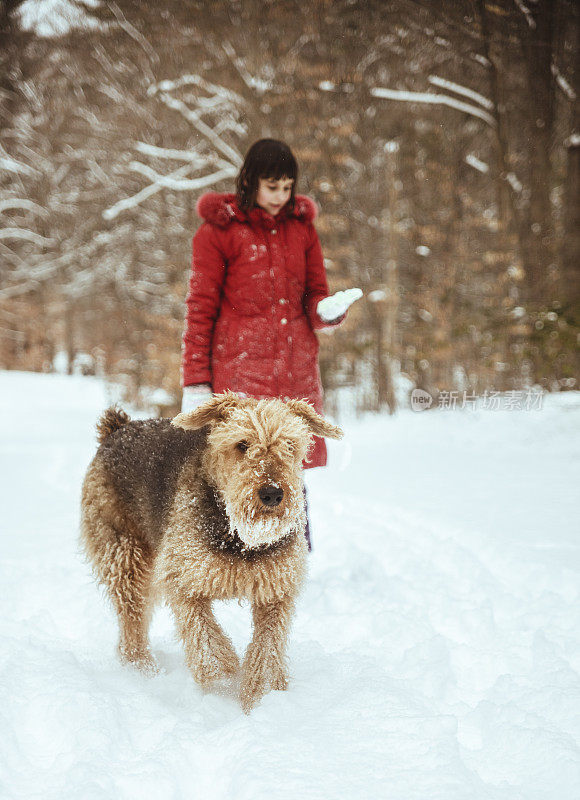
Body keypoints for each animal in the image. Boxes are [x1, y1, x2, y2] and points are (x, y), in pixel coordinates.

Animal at [79, 390, 342, 708]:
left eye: (290, 445)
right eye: (242, 444)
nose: (272, 493)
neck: (240, 539)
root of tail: (118, 428)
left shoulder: (275, 591)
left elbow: (267, 646)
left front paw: (264, 693)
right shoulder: (184, 581)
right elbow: (205, 636)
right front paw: (223, 678)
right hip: (125, 557)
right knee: (132, 623)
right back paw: (143, 670)